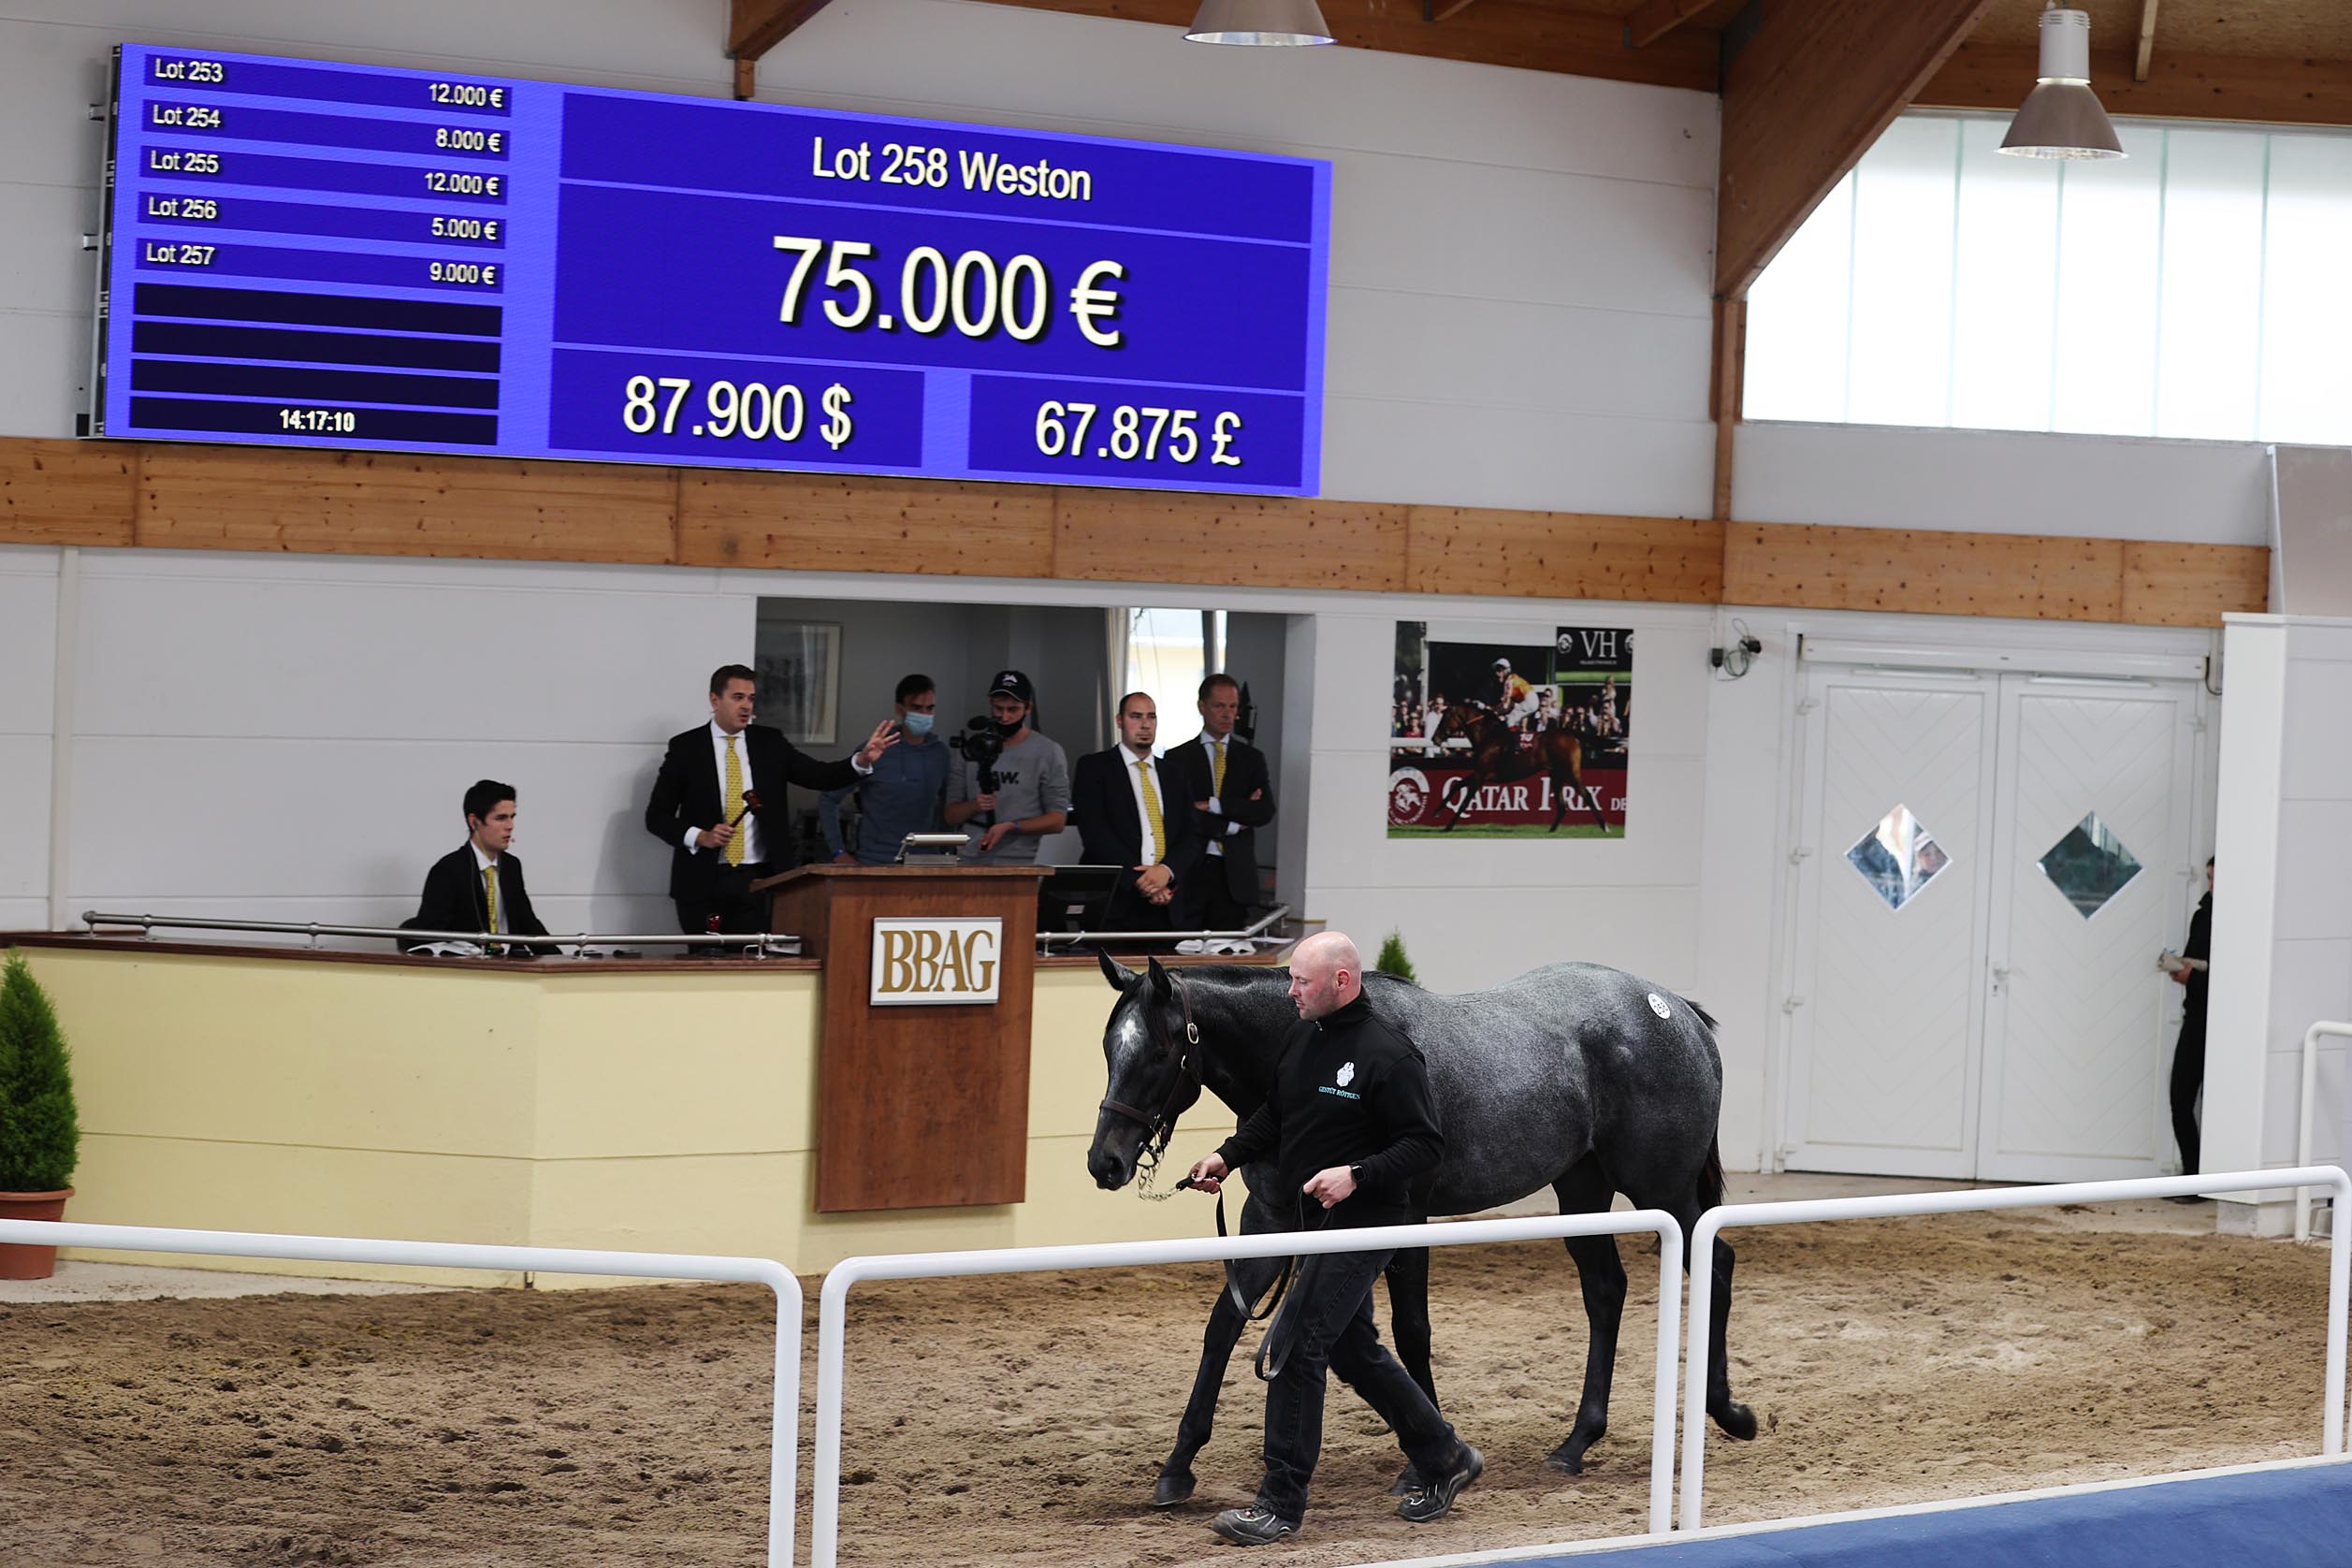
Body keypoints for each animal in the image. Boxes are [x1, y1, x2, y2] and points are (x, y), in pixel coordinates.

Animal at [1077, 950, 1749, 1504]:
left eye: (1157, 1053)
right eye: (1109, 1050)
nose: (1104, 1163)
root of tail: (1676, 1012)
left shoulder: (1405, 1216)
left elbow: (1411, 1332)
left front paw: (1424, 1463)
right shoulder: (1270, 1221)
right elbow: (1224, 1325)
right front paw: (1178, 1465)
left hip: (1661, 1188)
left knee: (1714, 1263)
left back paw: (1728, 1412)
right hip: (1582, 1188)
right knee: (1606, 1290)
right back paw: (1576, 1443)